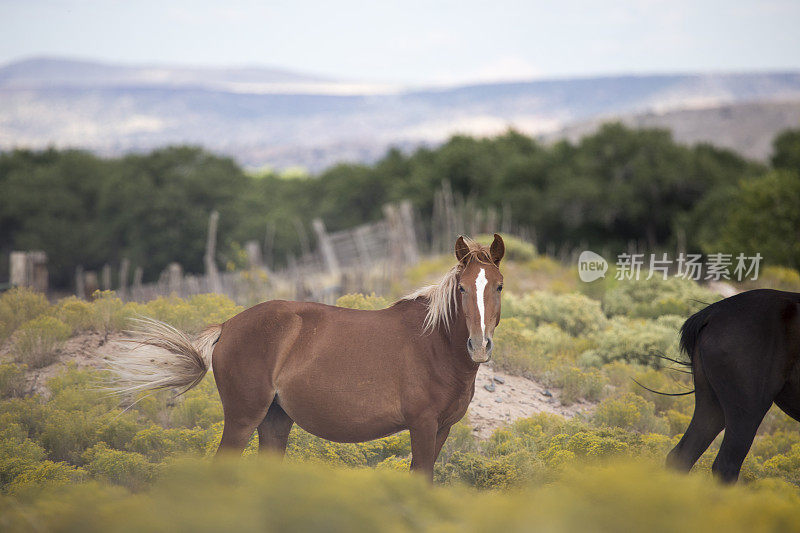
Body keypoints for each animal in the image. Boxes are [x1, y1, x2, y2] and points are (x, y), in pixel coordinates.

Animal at [109, 235, 504, 476]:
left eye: (498, 286)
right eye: (462, 288)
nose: (479, 346)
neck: (433, 344)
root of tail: (228, 325)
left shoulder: (442, 428)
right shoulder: (421, 425)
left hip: (275, 420)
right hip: (243, 418)